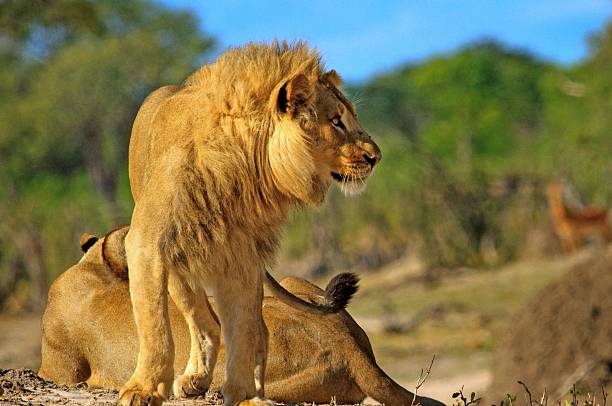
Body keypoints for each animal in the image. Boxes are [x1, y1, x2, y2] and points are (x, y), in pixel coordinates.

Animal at [123, 42, 382, 406]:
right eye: (336, 121)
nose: (376, 157)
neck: (242, 163)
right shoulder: (148, 244)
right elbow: (154, 324)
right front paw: (143, 389)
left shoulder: (242, 257)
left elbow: (243, 329)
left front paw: (244, 394)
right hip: (179, 265)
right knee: (203, 321)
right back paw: (195, 379)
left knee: (255, 328)